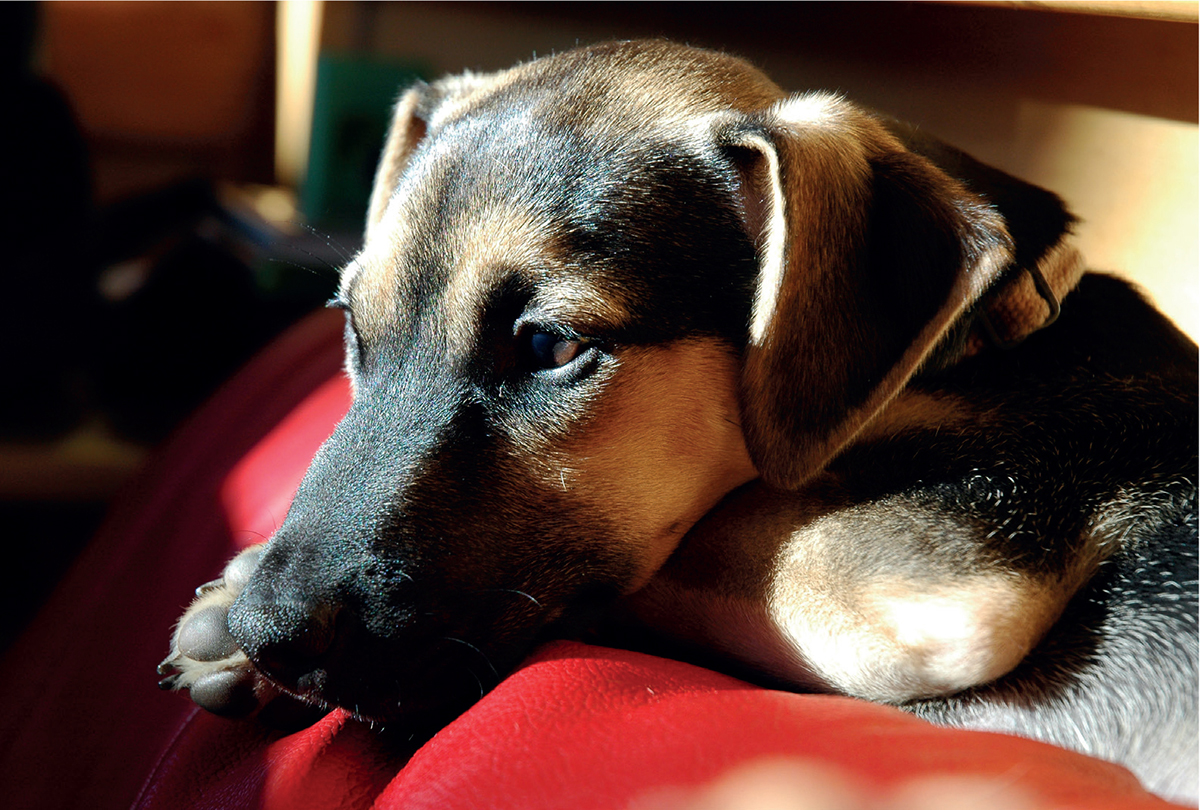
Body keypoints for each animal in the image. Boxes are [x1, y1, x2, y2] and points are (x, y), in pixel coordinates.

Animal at [162, 39, 1200, 806]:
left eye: (548, 346)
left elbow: (666, 557)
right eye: (350, 326)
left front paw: (228, 603)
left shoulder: (932, 578)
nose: (268, 633)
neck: (983, 342)